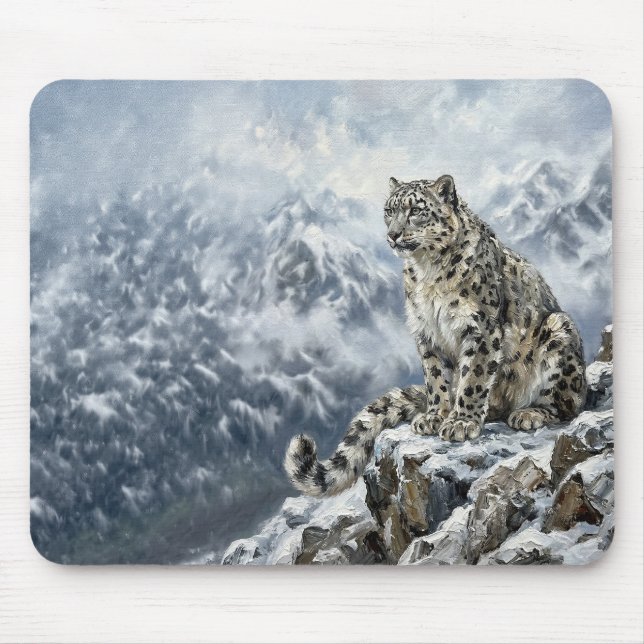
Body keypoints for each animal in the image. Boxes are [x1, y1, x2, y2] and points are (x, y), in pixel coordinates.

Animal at [285, 174, 586, 496]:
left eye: (416, 211)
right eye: (389, 211)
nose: (393, 235)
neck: (427, 272)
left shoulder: (480, 327)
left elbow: (474, 377)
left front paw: (462, 422)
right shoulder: (426, 332)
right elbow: (436, 377)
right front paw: (435, 416)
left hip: (559, 330)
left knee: (567, 403)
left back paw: (529, 413)